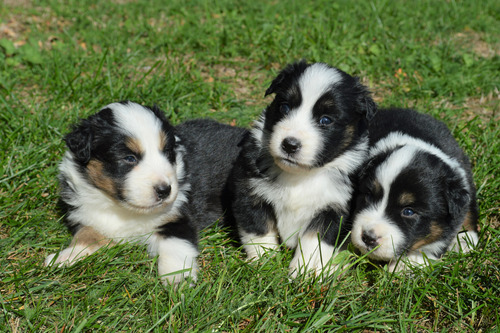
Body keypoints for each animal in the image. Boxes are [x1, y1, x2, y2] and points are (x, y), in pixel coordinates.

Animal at [46, 100, 245, 284]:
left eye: (167, 152)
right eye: (129, 158)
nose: (165, 190)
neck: (121, 208)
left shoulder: (177, 217)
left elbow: (175, 247)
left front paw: (178, 280)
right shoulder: (88, 215)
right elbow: (86, 234)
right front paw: (66, 256)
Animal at [229, 61, 376, 276]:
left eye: (325, 120)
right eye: (285, 107)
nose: (289, 145)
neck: (300, 175)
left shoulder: (335, 208)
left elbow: (313, 241)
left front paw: (304, 272)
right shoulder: (249, 190)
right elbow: (259, 229)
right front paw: (264, 262)